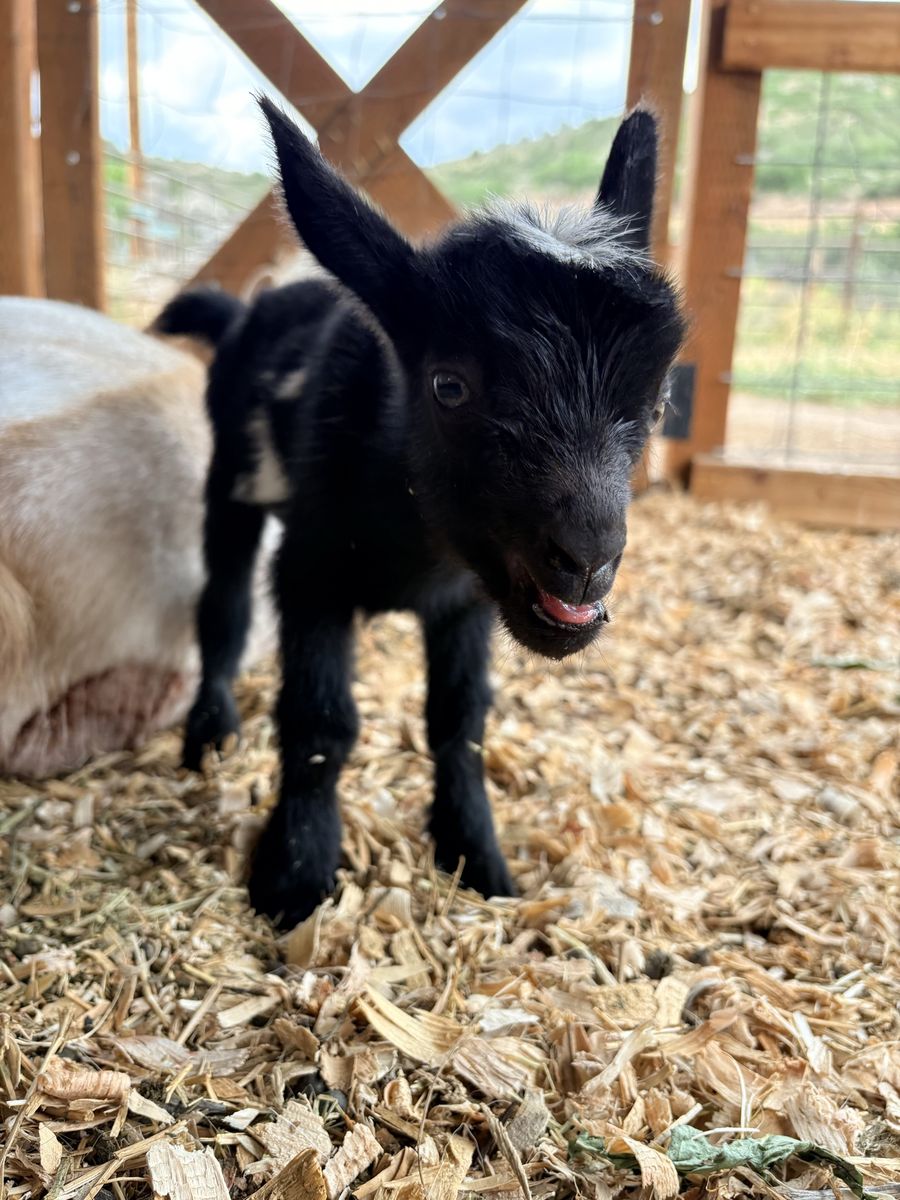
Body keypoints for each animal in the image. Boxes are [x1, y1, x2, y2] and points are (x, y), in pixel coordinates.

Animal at [155, 99, 687, 928]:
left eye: (659, 401)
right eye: (449, 386)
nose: (587, 558)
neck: (418, 547)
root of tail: (251, 308)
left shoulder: (468, 600)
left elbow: (459, 722)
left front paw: (478, 858)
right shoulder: (309, 572)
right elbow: (320, 721)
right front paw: (294, 877)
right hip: (230, 482)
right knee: (224, 603)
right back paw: (209, 733)